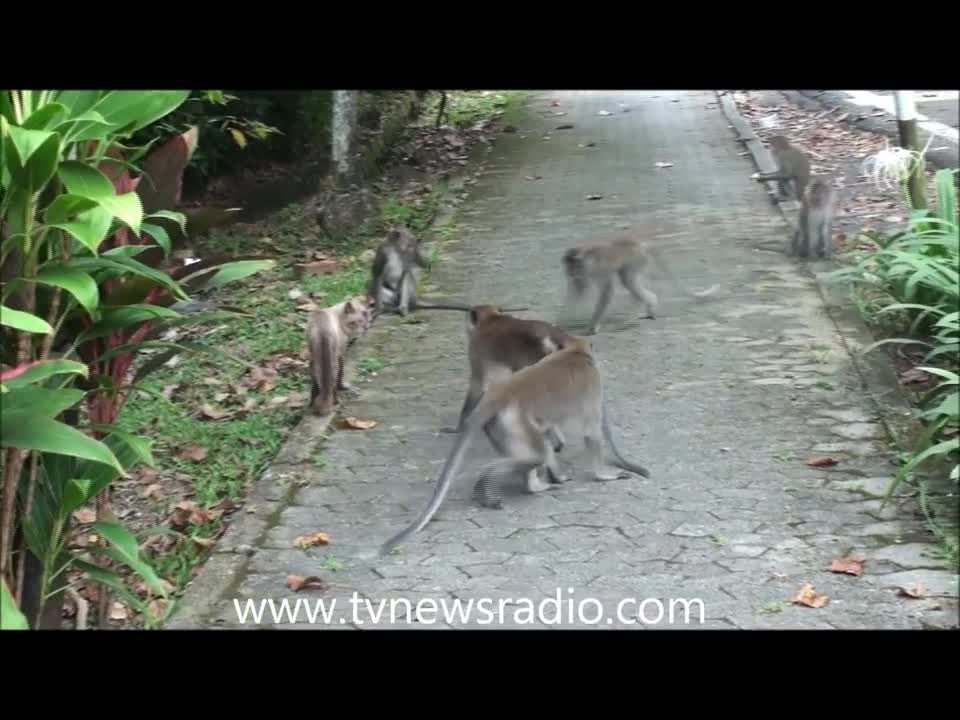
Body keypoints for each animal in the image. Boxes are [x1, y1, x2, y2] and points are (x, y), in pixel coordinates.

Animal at [382, 334, 652, 556]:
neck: (574, 352)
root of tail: (498, 394)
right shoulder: (593, 386)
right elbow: (592, 432)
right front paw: (605, 475)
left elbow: (549, 432)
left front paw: (557, 472)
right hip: (513, 421)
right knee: (533, 456)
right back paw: (491, 483)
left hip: (498, 427)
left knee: (534, 451)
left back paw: (529, 486)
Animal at [560, 231, 716, 338]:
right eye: (568, 267)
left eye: (574, 266)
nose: (570, 273)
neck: (588, 260)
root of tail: (642, 244)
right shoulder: (584, 275)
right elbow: (578, 289)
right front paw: (562, 321)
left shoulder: (599, 269)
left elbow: (607, 290)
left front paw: (592, 326)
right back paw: (649, 308)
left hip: (636, 260)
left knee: (628, 280)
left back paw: (640, 311)